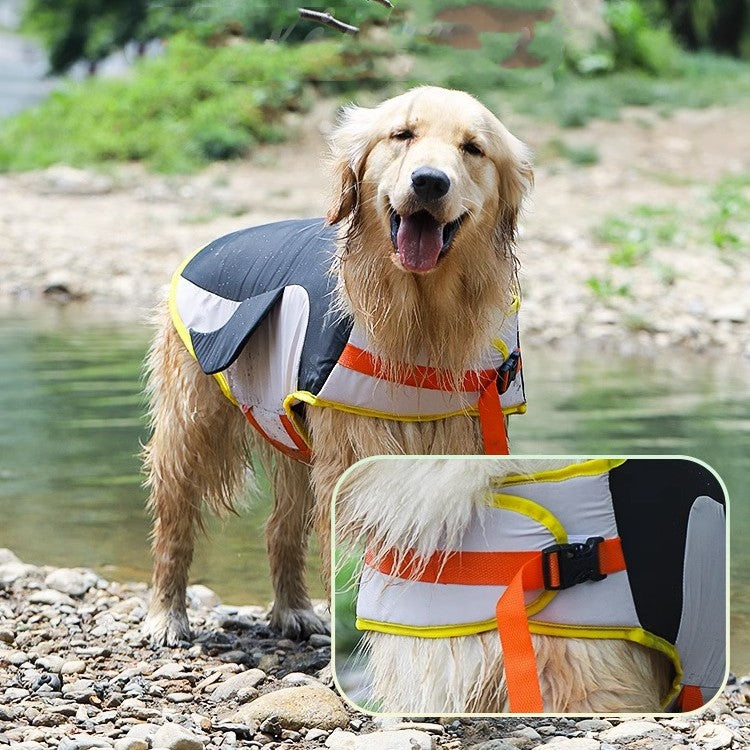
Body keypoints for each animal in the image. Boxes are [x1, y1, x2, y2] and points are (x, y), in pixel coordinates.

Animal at [142, 86, 536, 652]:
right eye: (402, 134)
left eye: (473, 148)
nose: (429, 181)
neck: (421, 318)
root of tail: (213, 241)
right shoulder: (352, 447)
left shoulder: (465, 437)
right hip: (192, 421)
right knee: (174, 522)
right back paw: (166, 615)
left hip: (288, 430)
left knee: (280, 528)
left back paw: (294, 610)